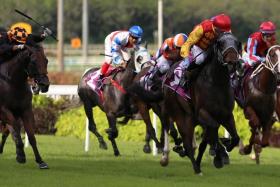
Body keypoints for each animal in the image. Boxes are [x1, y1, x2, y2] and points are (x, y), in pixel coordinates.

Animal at [0, 35, 49, 169]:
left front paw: (40, 161)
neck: (13, 83)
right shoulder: (4, 110)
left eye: (46, 60)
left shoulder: (26, 110)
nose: (45, 85)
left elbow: (31, 136)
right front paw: (20, 155)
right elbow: (16, 130)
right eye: (33, 62)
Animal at [163, 32, 242, 174]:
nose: (232, 61)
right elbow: (214, 128)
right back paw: (195, 167)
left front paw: (226, 145)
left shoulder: (227, 115)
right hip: (180, 115)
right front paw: (219, 155)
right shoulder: (203, 113)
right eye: (221, 43)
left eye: (237, 42)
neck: (217, 83)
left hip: (191, 119)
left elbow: (235, 137)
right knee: (187, 142)